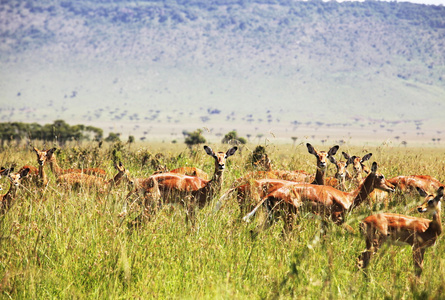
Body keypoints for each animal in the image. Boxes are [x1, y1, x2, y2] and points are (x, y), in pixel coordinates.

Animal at [245, 163, 394, 229]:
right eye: (381, 176)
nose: (392, 187)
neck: (348, 197)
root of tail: (271, 194)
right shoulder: (337, 219)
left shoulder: (325, 222)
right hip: (289, 217)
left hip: (273, 217)